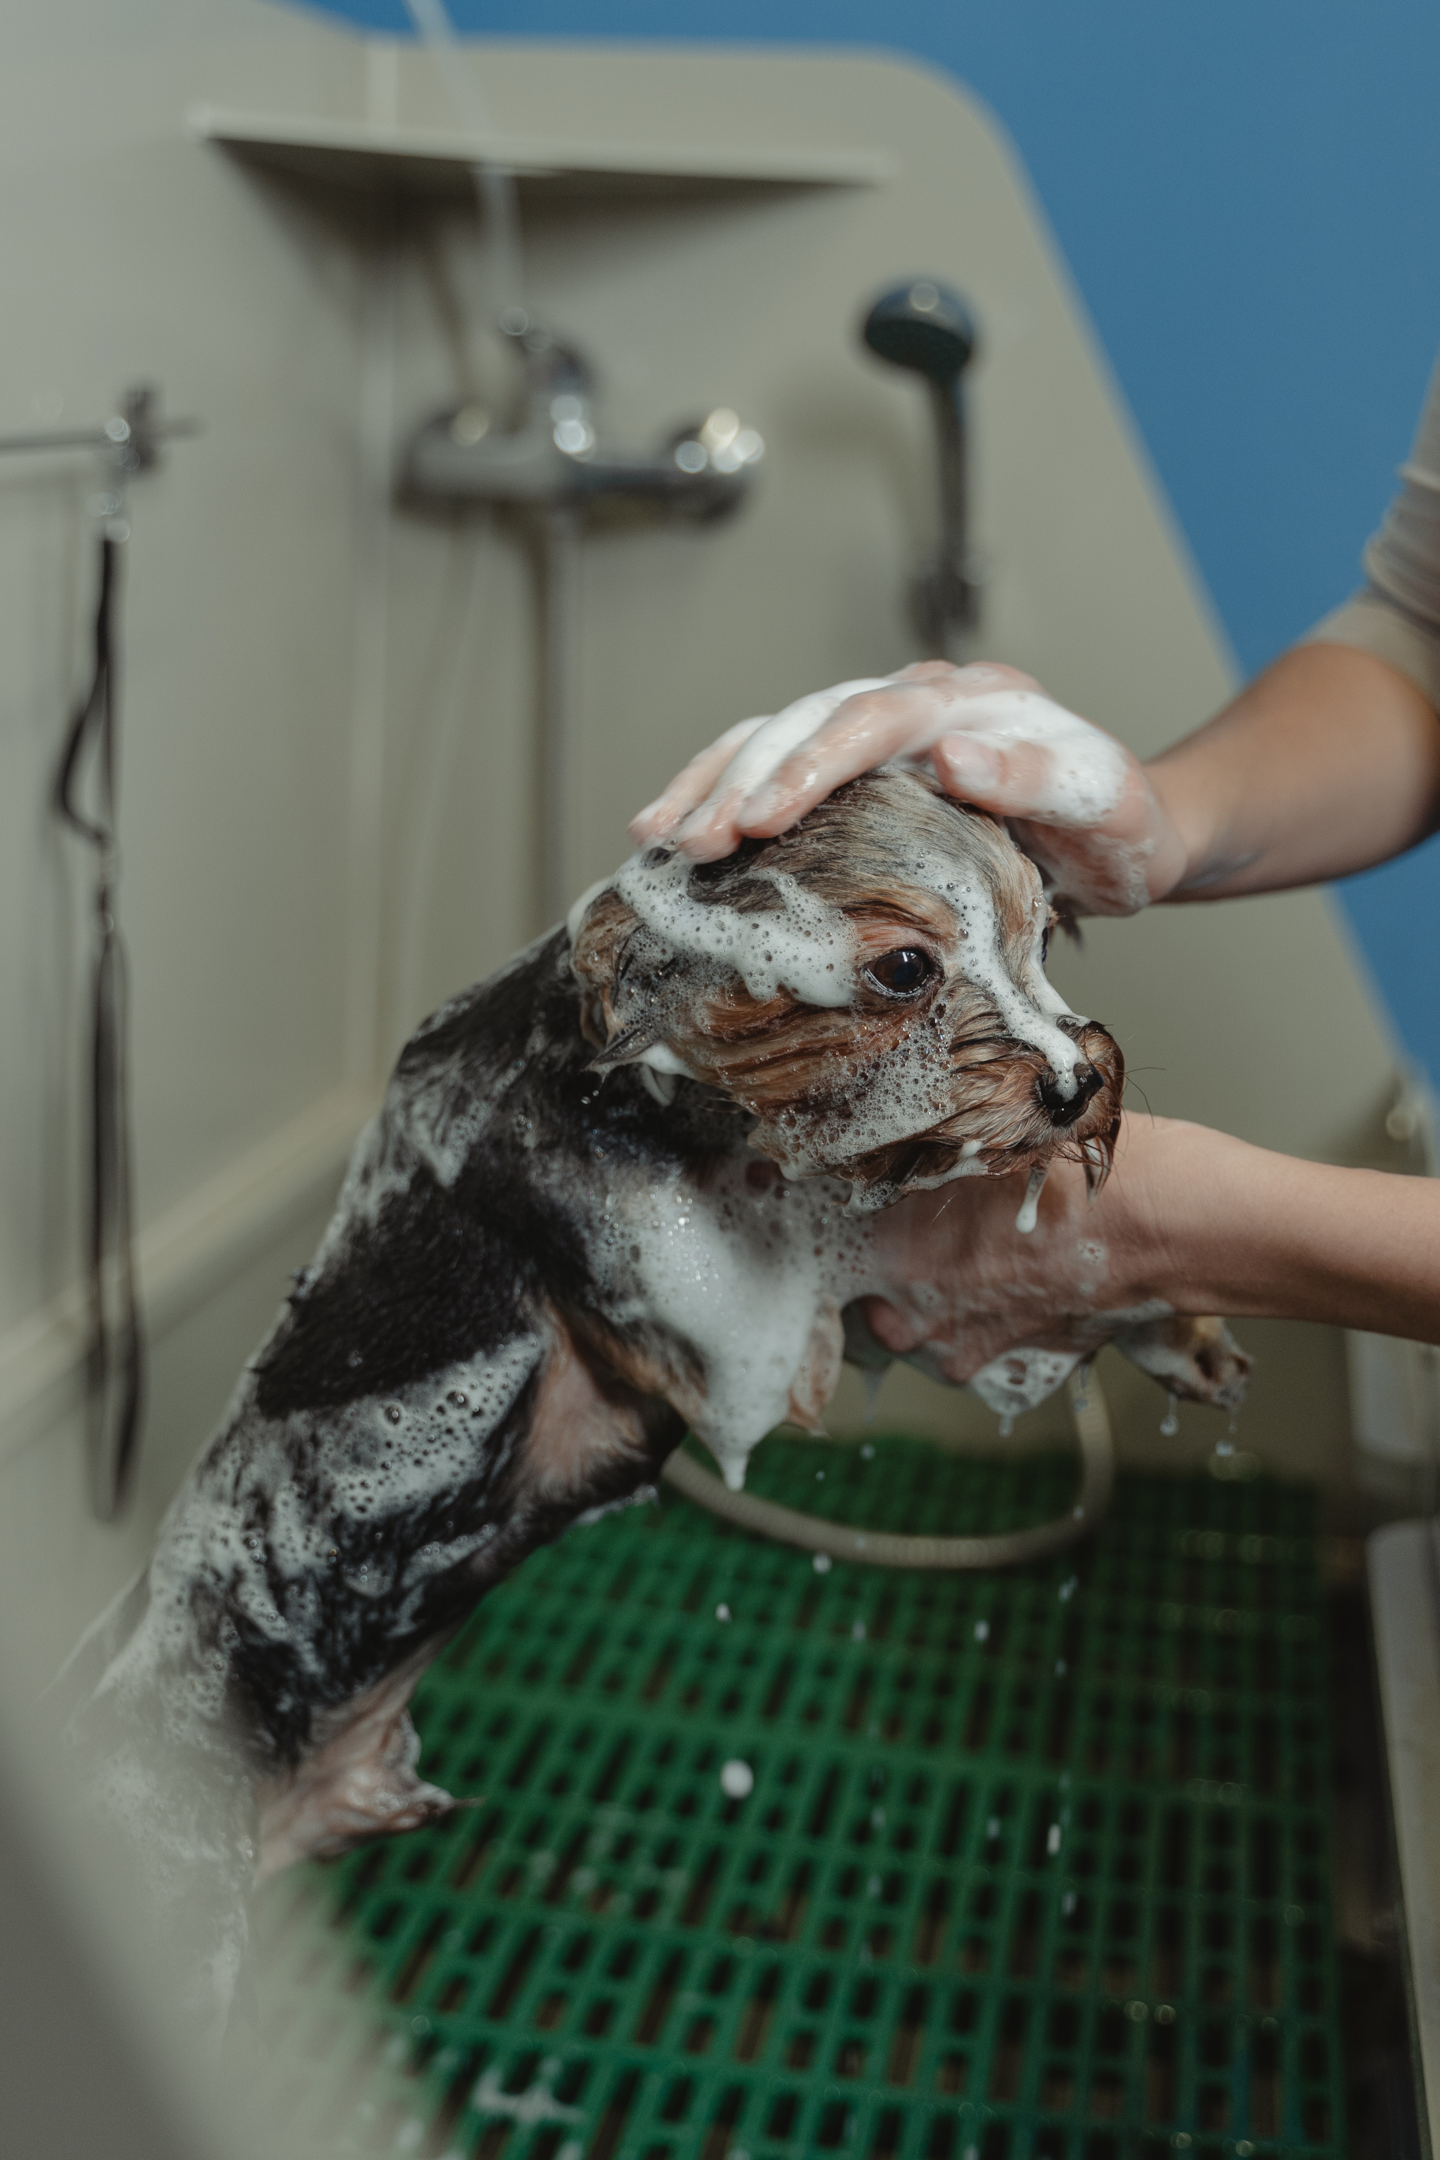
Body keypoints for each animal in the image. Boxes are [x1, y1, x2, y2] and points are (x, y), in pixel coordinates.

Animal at [62, 773, 1243, 2021]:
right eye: (904, 969)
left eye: (1043, 937)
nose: (1077, 1083)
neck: (645, 1086)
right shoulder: (733, 1312)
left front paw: (1177, 1329)